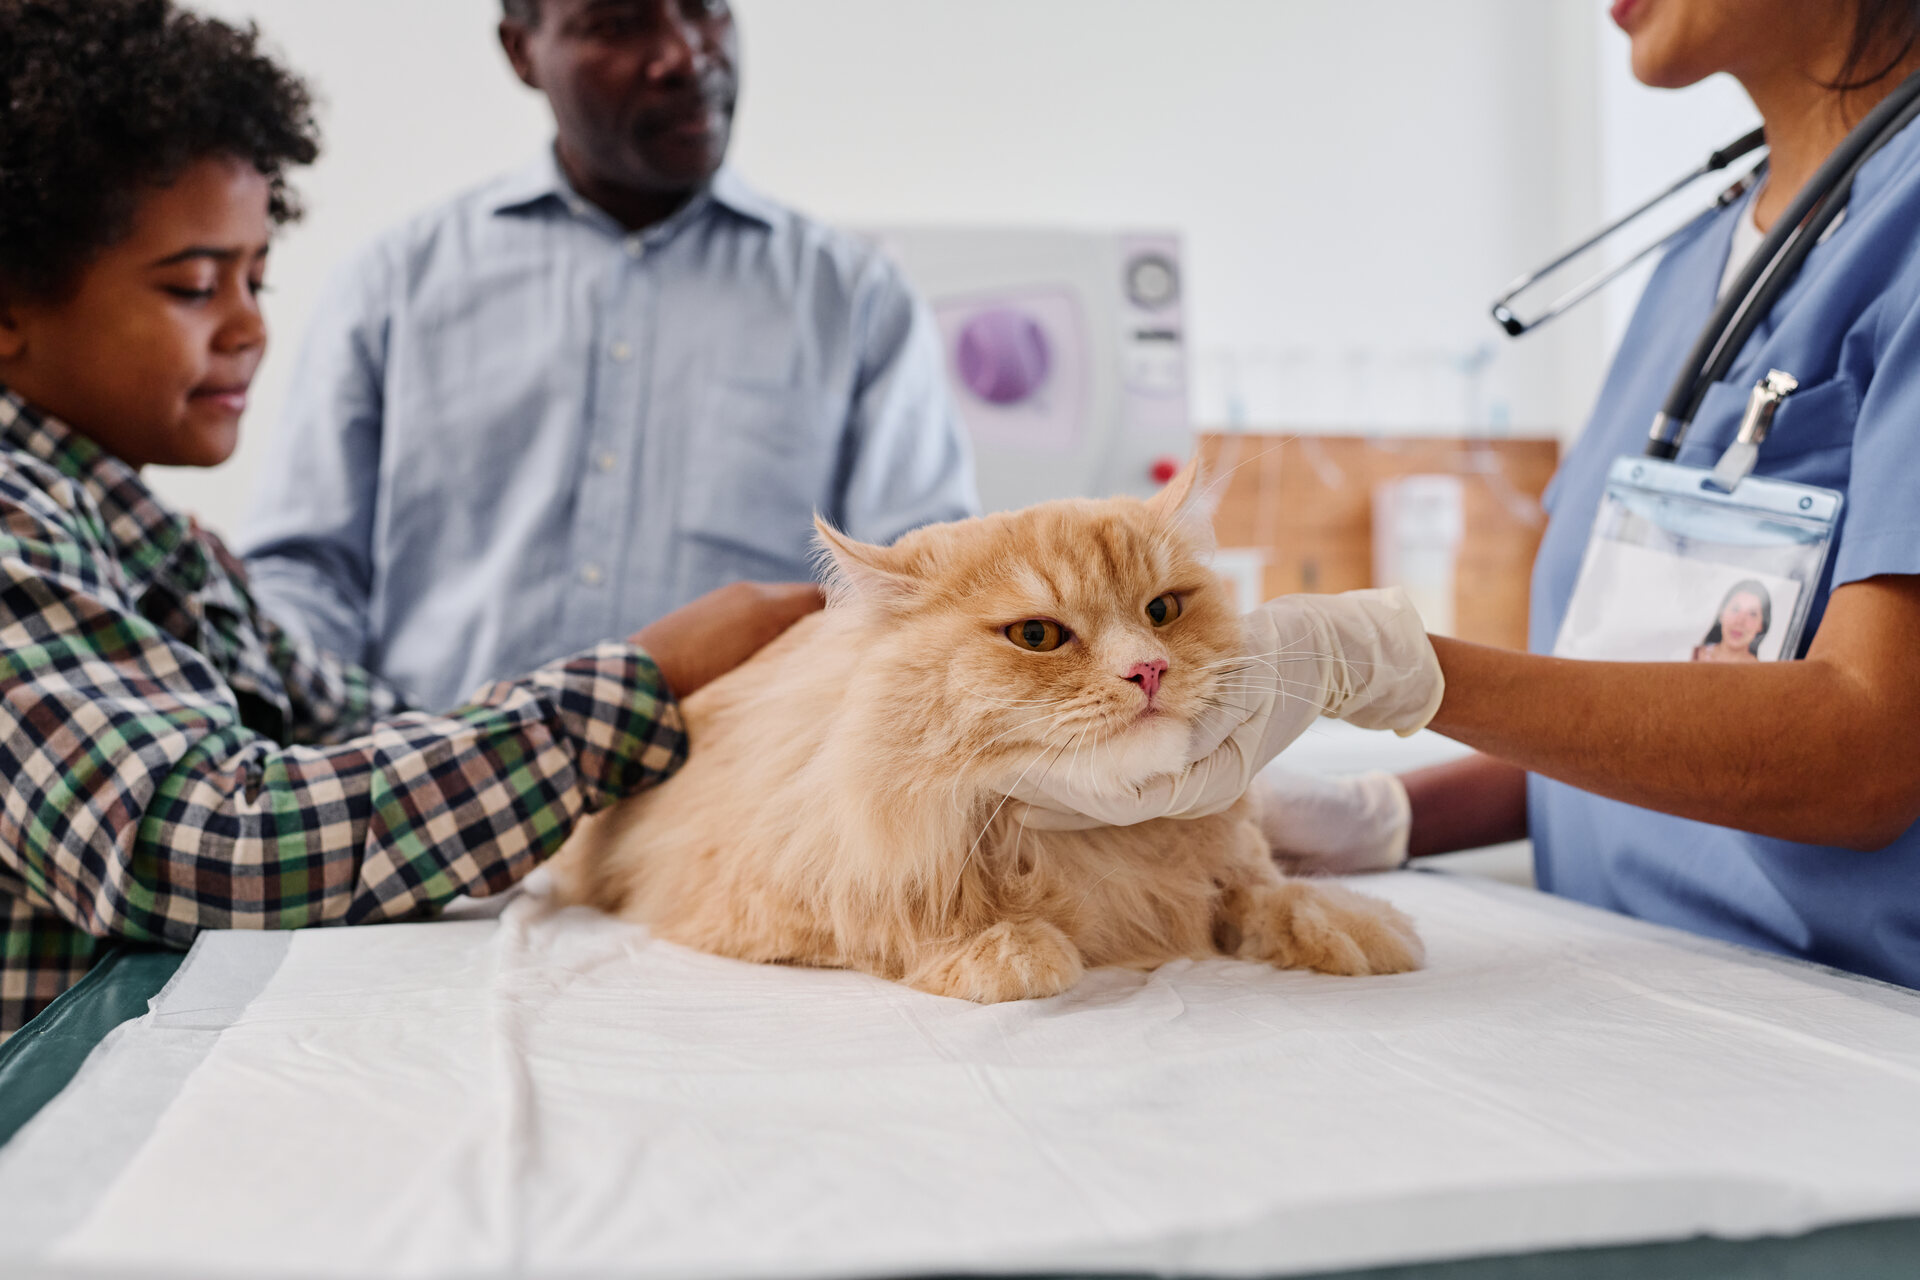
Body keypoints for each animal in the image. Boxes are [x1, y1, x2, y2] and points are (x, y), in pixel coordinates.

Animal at [549, 466, 1420, 1005]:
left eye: (1163, 610)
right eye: (1037, 636)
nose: (1149, 670)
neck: (1084, 844)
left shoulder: (1222, 865)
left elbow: (1266, 892)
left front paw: (1353, 923)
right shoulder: (759, 897)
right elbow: (893, 924)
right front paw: (1010, 948)